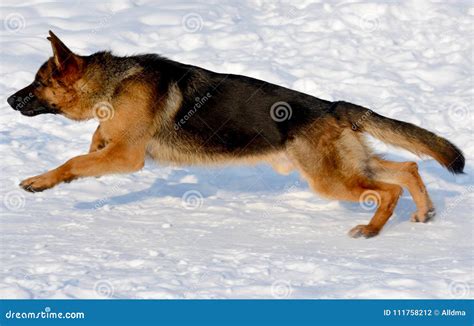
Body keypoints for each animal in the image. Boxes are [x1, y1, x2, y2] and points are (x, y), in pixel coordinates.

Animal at [7, 32, 464, 237]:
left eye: (38, 83)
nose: (10, 100)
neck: (112, 84)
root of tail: (333, 106)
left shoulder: (126, 158)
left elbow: (72, 162)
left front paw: (40, 182)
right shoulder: (110, 148)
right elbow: (88, 150)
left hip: (331, 179)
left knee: (390, 189)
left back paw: (370, 230)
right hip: (348, 166)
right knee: (408, 168)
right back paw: (424, 213)